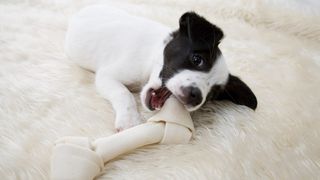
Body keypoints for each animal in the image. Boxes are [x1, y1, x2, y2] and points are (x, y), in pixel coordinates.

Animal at [65, 5, 258, 131]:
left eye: (213, 94)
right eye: (197, 59)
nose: (196, 96)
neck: (152, 57)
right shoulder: (107, 76)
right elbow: (123, 93)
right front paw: (130, 121)